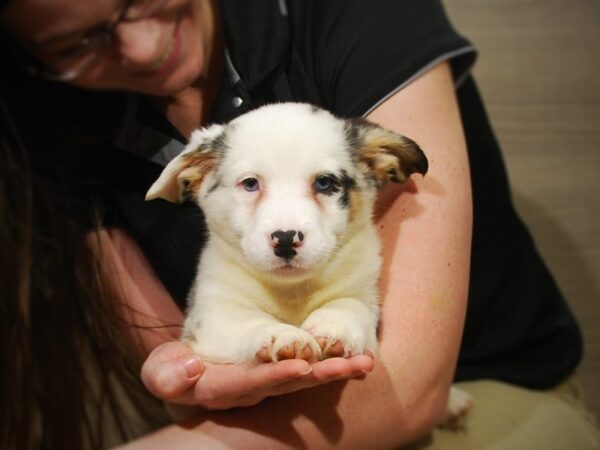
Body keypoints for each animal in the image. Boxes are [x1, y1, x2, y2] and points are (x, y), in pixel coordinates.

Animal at [146, 102, 474, 418]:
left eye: (325, 183)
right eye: (250, 183)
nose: (285, 239)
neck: (293, 291)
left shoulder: (364, 296)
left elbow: (349, 305)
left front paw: (334, 325)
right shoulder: (211, 317)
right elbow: (249, 322)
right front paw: (282, 336)